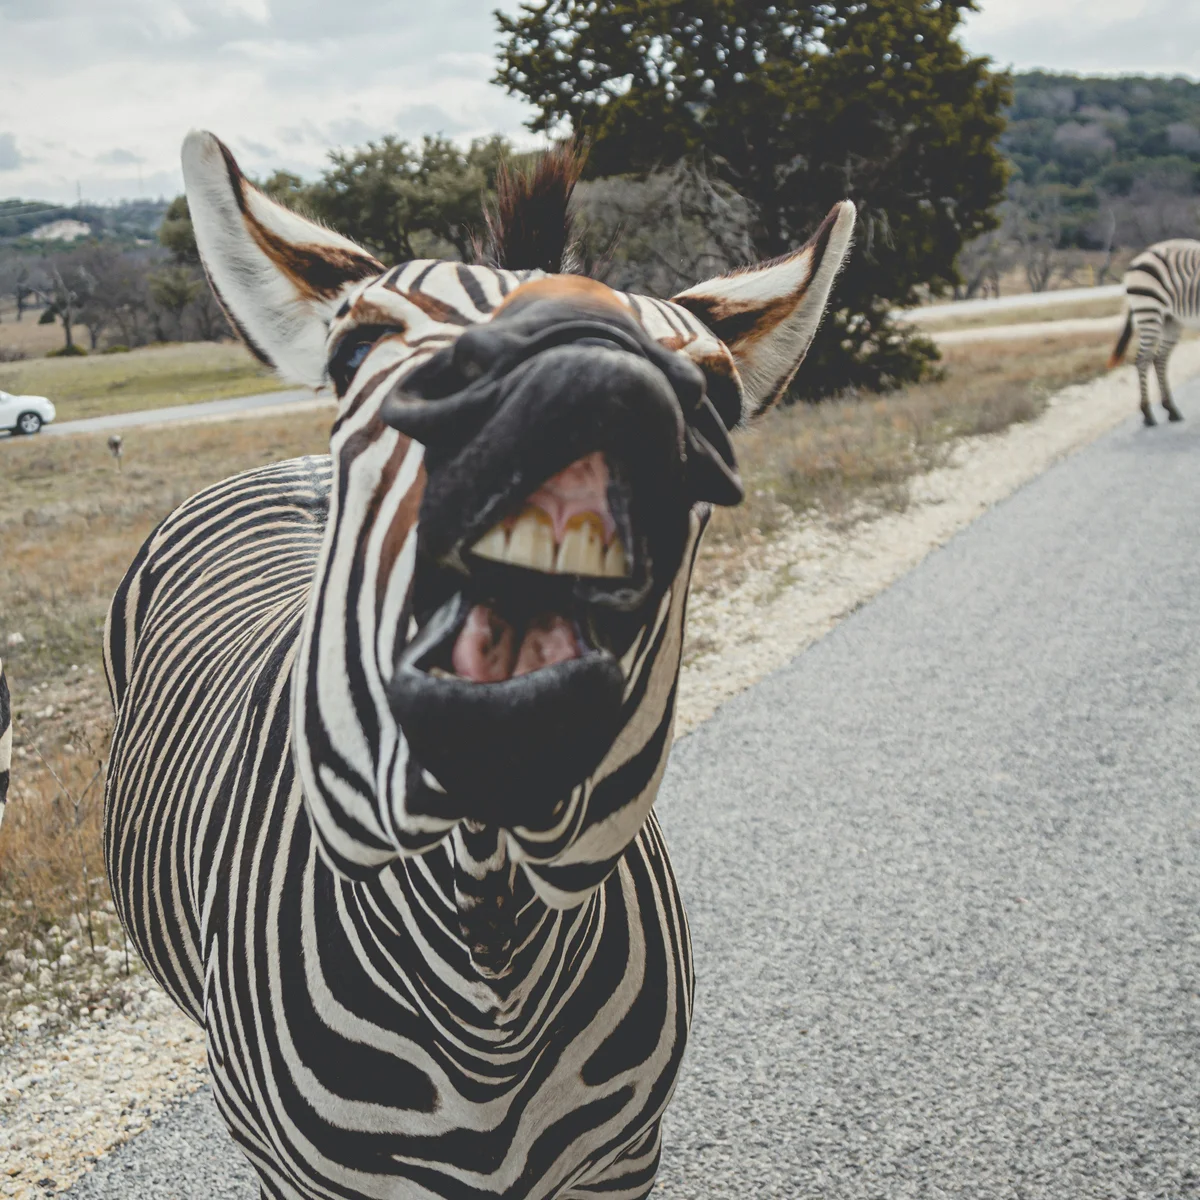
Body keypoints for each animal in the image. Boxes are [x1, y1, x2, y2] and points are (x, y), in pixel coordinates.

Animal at [103, 130, 854, 1200]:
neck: (489, 979)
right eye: (355, 353)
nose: (578, 373)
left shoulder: (624, 1160)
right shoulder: (303, 1174)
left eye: (713, 393)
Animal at [1108, 238, 1200, 425]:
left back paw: (1171, 409)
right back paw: (1147, 414)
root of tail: (1142, 255)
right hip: (1149, 312)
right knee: (1142, 359)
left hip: (1171, 320)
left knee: (1160, 358)